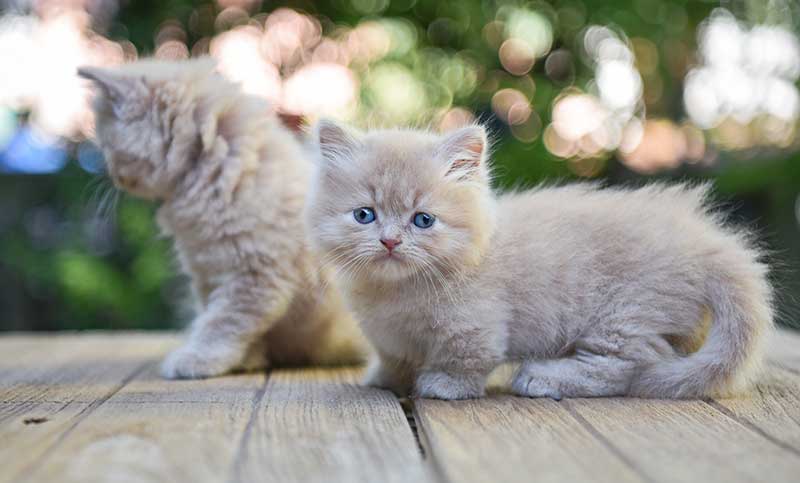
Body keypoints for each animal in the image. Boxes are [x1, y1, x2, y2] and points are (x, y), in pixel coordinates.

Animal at [79, 59, 368, 378]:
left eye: (107, 146)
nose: (111, 174)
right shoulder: (209, 272)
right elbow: (218, 318)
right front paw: (247, 359)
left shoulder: (254, 276)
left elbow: (223, 324)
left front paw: (197, 359)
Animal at [306, 121, 776, 400]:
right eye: (364, 215)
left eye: (423, 220)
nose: (389, 241)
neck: (395, 295)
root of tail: (702, 240)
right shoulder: (387, 336)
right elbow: (393, 358)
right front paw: (385, 379)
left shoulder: (476, 328)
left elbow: (464, 361)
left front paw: (444, 386)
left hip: (624, 318)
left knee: (631, 366)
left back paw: (542, 376)